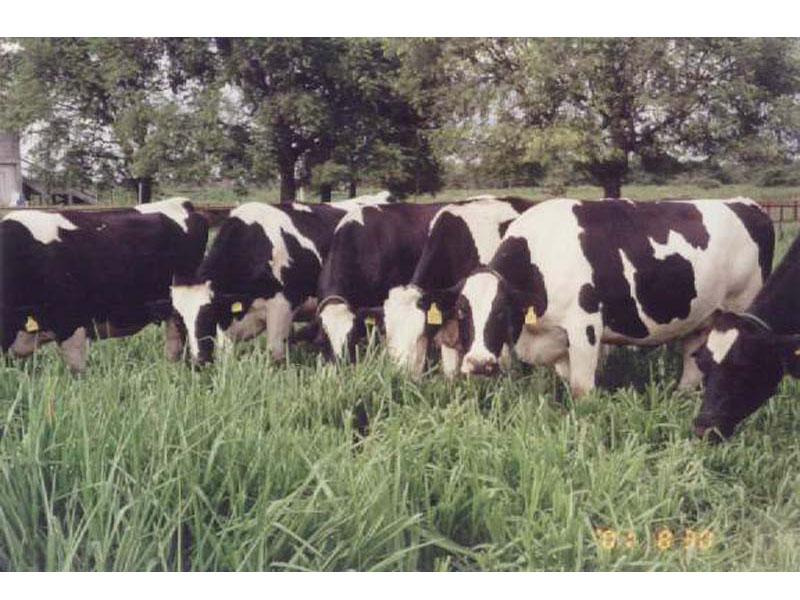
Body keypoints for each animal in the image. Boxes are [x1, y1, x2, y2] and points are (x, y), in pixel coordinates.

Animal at [418, 197, 776, 394]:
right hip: (701, 316)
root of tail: (746, 203)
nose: (479, 364)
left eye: (502, 310)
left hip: (741, 307)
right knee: (691, 361)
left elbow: (581, 390)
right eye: (462, 311)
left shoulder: (585, 327)